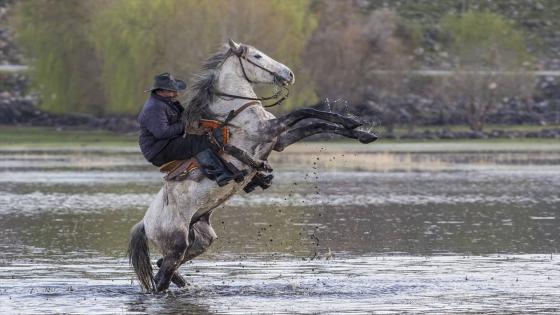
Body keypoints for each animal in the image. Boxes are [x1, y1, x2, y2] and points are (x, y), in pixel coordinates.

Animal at [129, 40, 378, 294]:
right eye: (257, 56)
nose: (289, 74)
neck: (235, 108)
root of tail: (144, 223)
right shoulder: (270, 130)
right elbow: (306, 112)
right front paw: (352, 121)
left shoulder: (279, 140)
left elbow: (316, 123)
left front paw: (361, 131)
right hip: (177, 243)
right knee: (162, 277)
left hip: (201, 238)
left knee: (163, 266)